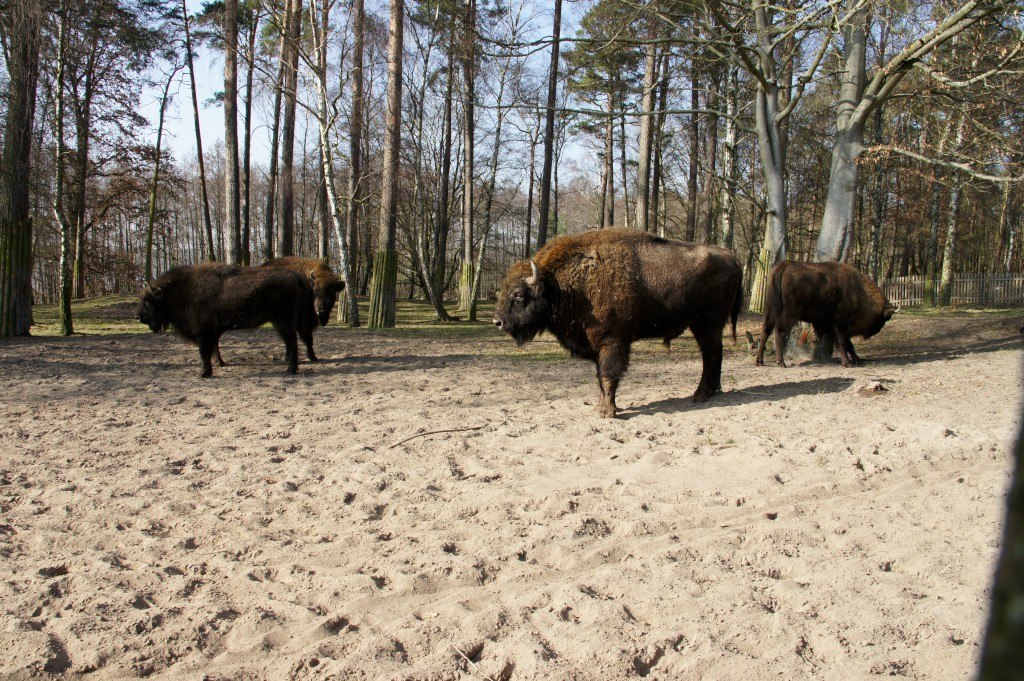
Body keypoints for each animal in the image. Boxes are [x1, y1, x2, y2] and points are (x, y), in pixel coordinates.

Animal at [138, 262, 315, 376]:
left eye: (147, 300)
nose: (139, 317)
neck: (182, 290)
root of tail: (297, 276)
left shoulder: (203, 331)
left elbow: (204, 352)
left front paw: (204, 373)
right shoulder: (214, 331)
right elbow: (214, 348)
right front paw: (220, 363)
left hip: (282, 321)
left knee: (292, 341)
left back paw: (290, 370)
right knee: (302, 337)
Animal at [491, 228, 741, 417]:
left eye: (519, 294)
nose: (497, 321)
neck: (564, 285)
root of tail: (733, 258)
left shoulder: (612, 341)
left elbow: (609, 374)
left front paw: (608, 411)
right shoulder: (594, 344)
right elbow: (599, 376)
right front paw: (600, 406)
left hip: (708, 323)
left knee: (710, 355)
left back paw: (699, 395)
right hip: (704, 325)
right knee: (715, 353)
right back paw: (711, 392)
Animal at [753, 259, 897, 366]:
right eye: (883, 319)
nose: (875, 331)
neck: (858, 290)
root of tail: (783, 266)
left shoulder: (832, 325)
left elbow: (847, 344)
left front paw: (857, 360)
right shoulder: (841, 323)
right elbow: (843, 342)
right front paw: (847, 363)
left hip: (770, 310)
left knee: (766, 331)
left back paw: (759, 361)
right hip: (790, 314)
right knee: (780, 332)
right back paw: (781, 362)